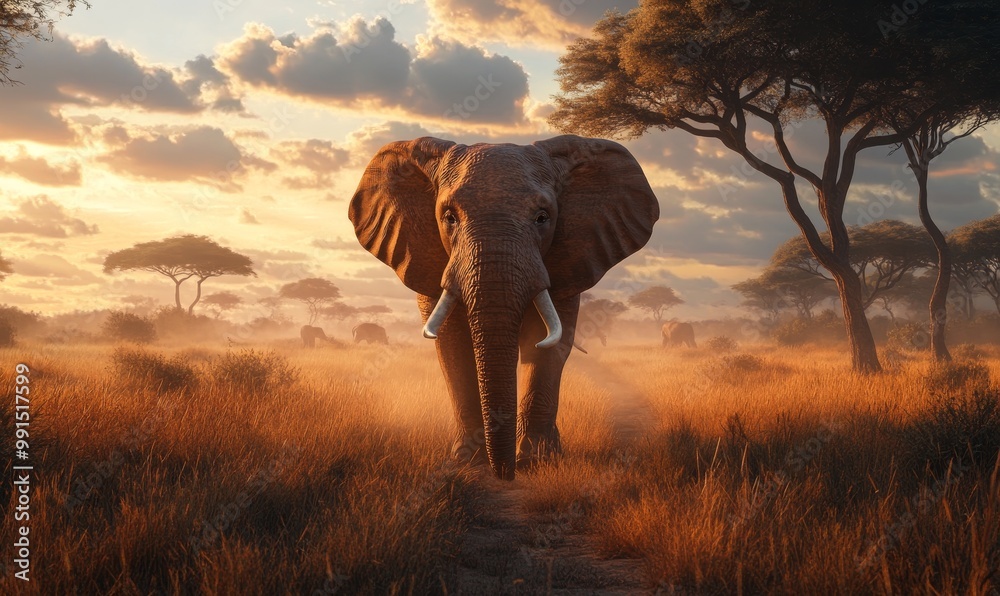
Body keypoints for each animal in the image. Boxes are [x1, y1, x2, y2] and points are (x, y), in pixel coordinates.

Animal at [349, 135, 658, 480]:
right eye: (449, 217)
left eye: (542, 217)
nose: (506, 474)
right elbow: (452, 347)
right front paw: (467, 461)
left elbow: (545, 345)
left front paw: (537, 460)